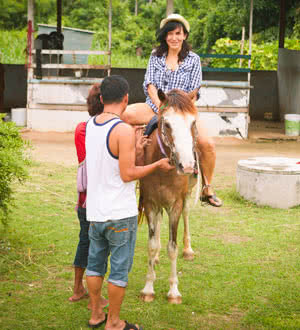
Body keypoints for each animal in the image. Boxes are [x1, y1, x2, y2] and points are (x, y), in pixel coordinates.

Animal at [139, 88, 200, 304]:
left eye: (193, 123)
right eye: (167, 124)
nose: (187, 166)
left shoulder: (176, 205)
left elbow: (172, 247)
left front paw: (174, 291)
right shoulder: (150, 203)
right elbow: (151, 245)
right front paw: (148, 288)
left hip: (187, 196)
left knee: (187, 214)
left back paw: (188, 250)